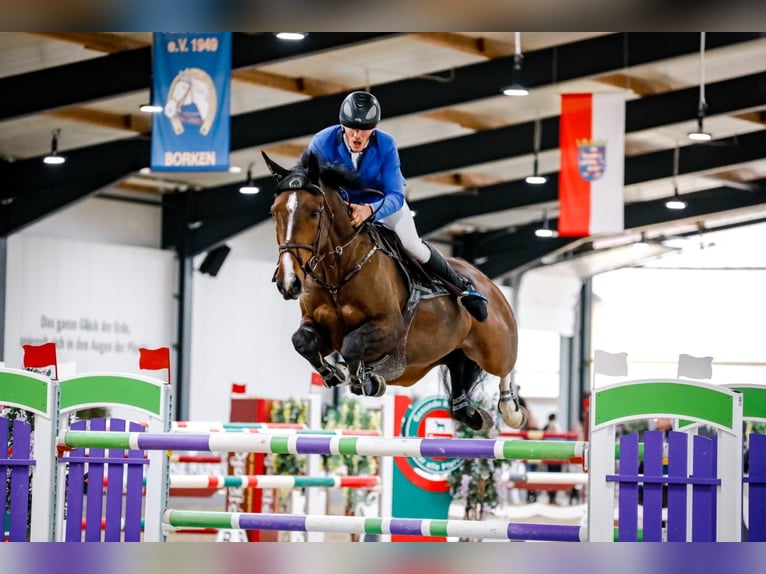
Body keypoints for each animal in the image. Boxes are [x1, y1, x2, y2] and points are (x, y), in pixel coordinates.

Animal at [264, 152, 528, 432]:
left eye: (314, 213)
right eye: (274, 212)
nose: (289, 282)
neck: (336, 273)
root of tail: (488, 281)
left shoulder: (391, 328)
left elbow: (352, 344)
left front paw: (364, 380)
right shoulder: (321, 329)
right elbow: (302, 341)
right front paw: (335, 374)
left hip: (495, 346)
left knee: (505, 366)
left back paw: (510, 409)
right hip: (450, 349)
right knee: (457, 363)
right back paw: (468, 412)